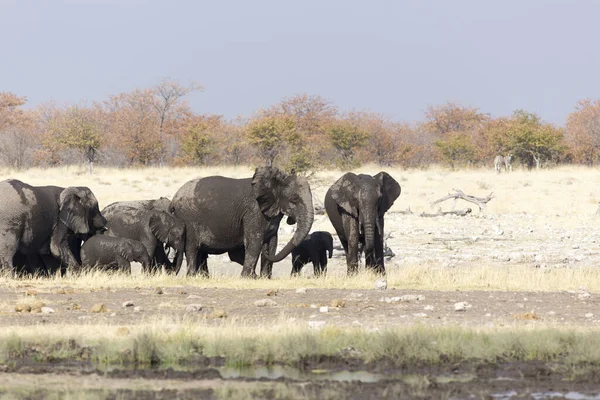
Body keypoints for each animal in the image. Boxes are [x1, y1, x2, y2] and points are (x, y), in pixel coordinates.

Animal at [171, 166, 314, 278]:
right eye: (294, 199)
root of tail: (174, 198)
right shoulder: (254, 211)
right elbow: (255, 241)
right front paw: (250, 277)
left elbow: (272, 243)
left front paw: (265, 278)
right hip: (189, 218)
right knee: (192, 248)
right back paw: (192, 276)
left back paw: (203, 277)